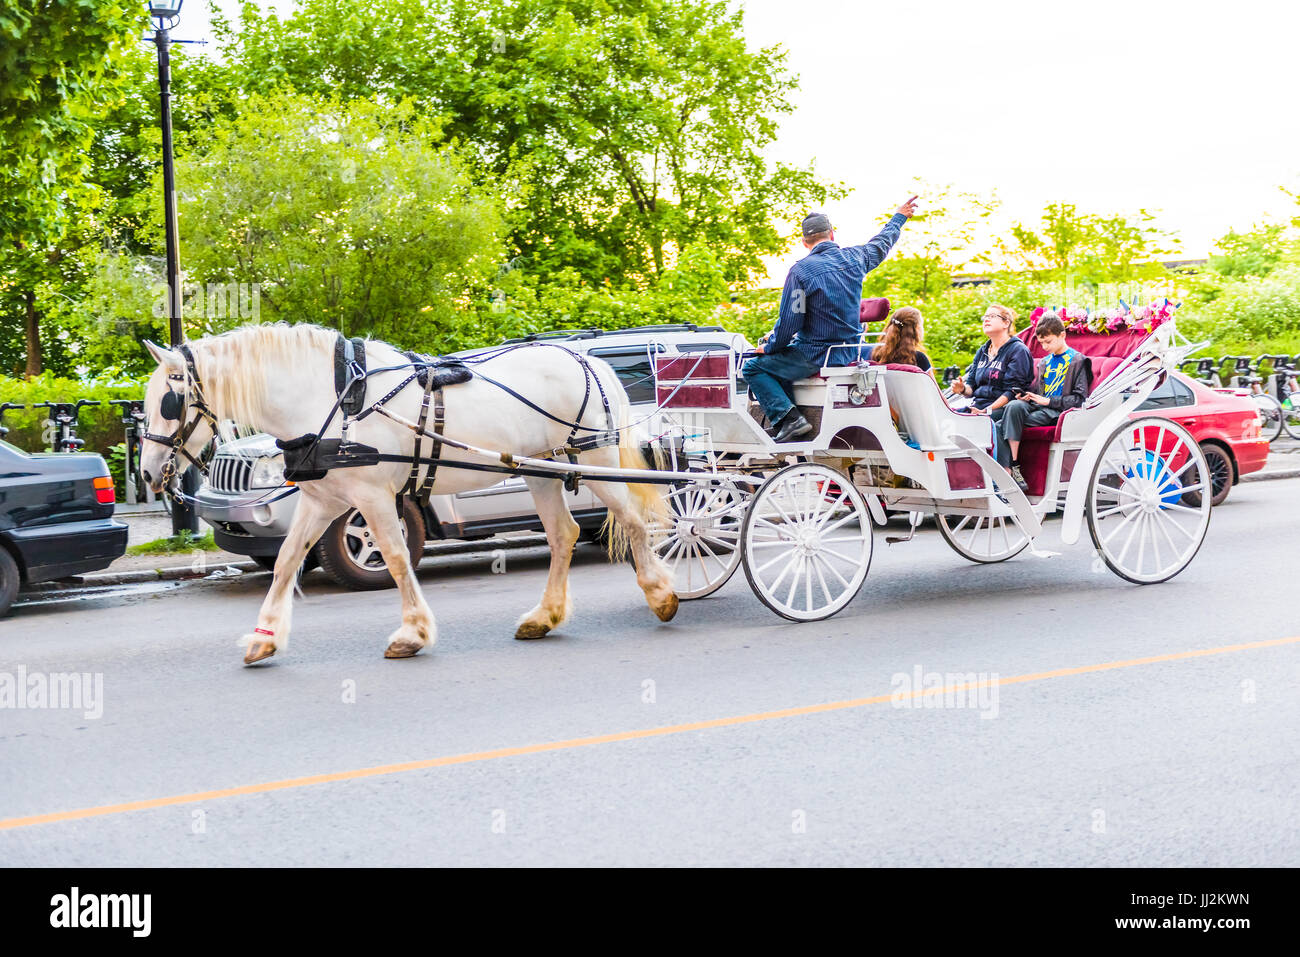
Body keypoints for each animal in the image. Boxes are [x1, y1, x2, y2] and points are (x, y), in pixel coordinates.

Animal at [137, 325, 676, 660]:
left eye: (170, 402)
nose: (146, 473)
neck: (334, 400)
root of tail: (584, 358)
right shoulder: (324, 500)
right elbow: (288, 560)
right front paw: (265, 638)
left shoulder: (373, 496)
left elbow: (395, 557)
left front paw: (413, 633)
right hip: (540, 468)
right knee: (563, 534)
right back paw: (545, 617)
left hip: (595, 461)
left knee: (633, 521)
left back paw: (661, 594)